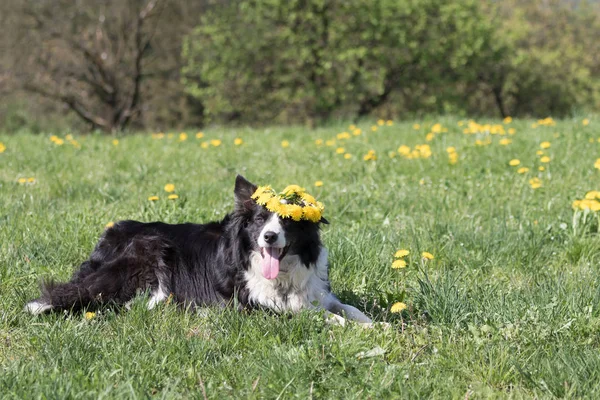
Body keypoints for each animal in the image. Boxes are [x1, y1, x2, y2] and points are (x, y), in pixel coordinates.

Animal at [25, 175, 372, 324]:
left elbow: (351, 310)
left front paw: (377, 324)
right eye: (260, 220)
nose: (270, 237)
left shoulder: (317, 293)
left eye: (287, 220)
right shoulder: (256, 305)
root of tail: (109, 235)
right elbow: (328, 318)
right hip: (151, 247)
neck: (283, 277)